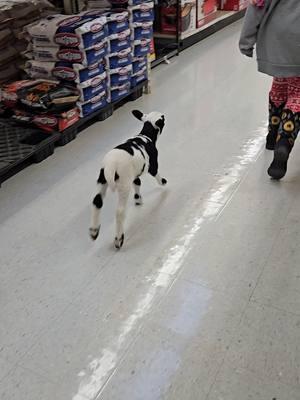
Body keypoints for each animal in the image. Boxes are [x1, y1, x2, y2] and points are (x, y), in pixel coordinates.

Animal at [89, 108, 166, 247]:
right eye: (162, 118)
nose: (165, 115)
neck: (145, 136)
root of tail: (111, 164)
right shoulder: (152, 166)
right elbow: (157, 175)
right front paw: (163, 182)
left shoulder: (134, 174)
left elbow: (138, 184)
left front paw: (138, 199)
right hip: (123, 184)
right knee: (119, 212)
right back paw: (119, 239)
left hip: (102, 180)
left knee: (96, 202)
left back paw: (94, 230)